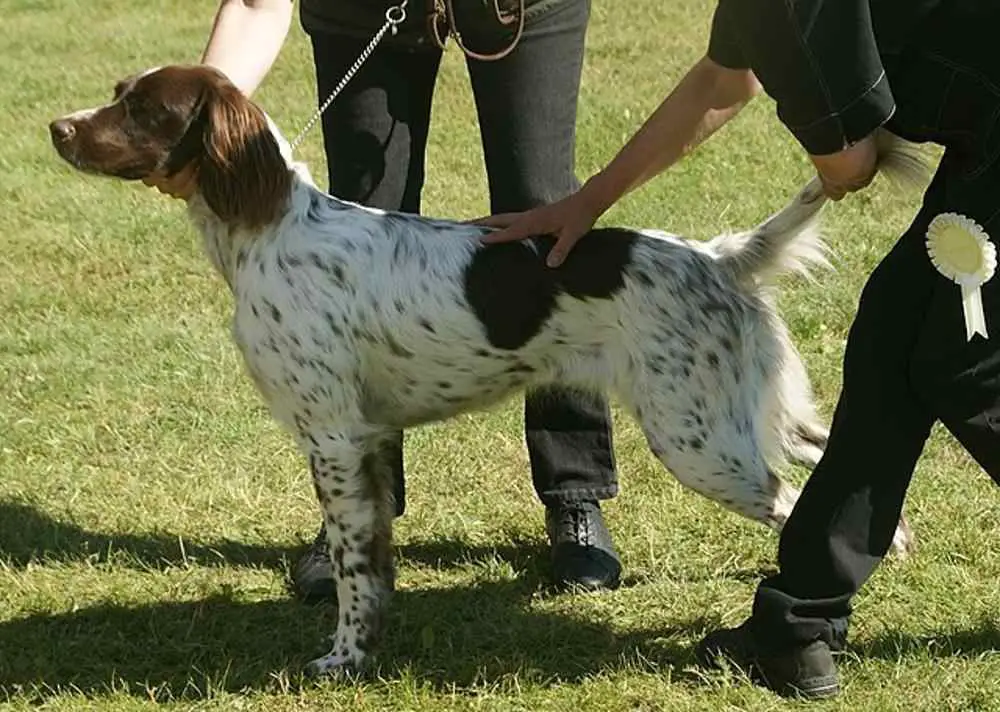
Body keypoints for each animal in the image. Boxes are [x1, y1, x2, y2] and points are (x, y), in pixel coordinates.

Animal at [50, 67, 916, 680]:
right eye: (118, 95)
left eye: (141, 109)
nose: (57, 127)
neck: (269, 229)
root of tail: (715, 255)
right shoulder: (368, 442)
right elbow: (374, 558)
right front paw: (369, 641)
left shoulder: (333, 437)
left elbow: (354, 567)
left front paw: (344, 658)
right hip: (751, 417)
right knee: (836, 467)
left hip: (700, 442)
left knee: (795, 499)